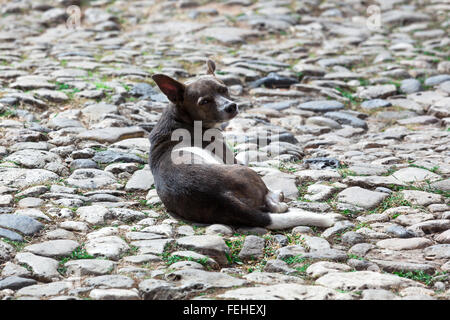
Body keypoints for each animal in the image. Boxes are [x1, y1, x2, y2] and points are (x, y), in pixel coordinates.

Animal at [149, 59, 334, 230]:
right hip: (247, 173)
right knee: (272, 203)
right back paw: (279, 197)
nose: (231, 106)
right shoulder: (232, 159)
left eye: (224, 89)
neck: (180, 118)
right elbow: (243, 156)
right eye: (204, 102)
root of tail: (223, 197)